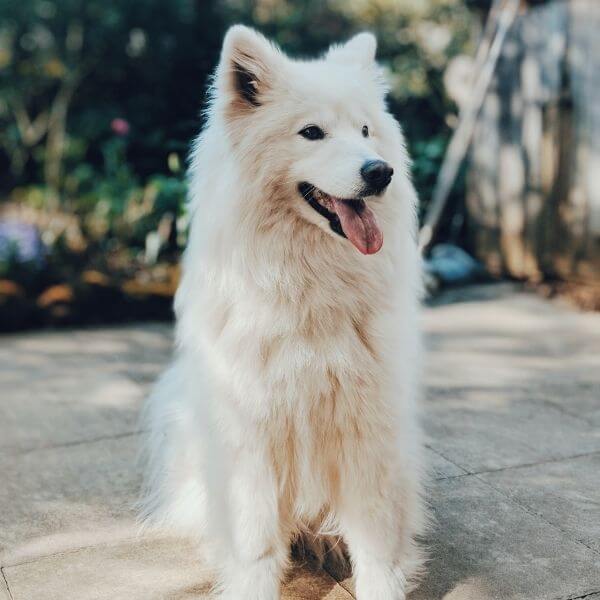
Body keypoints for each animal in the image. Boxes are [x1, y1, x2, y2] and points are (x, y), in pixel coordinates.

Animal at [142, 24, 426, 600]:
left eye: (366, 131)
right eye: (312, 132)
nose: (380, 171)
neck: (309, 284)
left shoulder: (367, 425)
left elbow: (376, 537)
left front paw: (381, 584)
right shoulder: (252, 432)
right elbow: (255, 541)